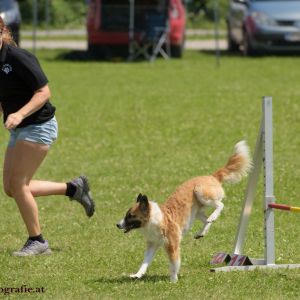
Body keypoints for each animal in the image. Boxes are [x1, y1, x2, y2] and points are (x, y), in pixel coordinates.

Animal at [116, 141, 252, 282]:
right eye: (126, 215)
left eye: (130, 216)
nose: (118, 225)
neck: (154, 219)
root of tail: (212, 176)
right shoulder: (152, 245)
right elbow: (145, 262)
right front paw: (137, 275)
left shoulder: (172, 245)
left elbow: (174, 263)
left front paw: (173, 280)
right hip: (197, 212)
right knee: (207, 220)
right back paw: (201, 232)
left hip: (201, 193)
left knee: (220, 205)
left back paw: (213, 216)